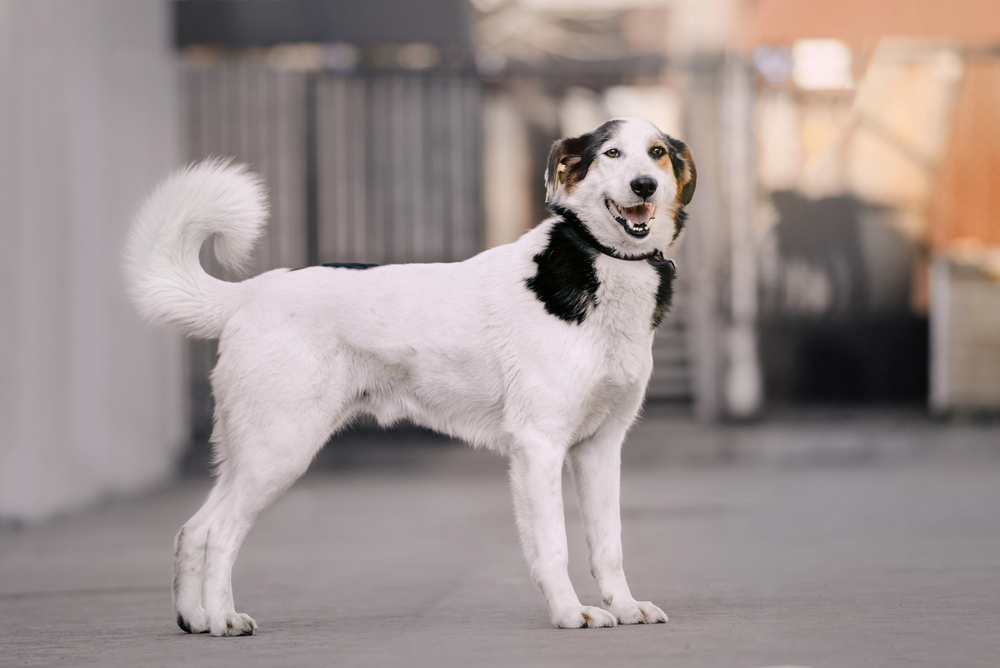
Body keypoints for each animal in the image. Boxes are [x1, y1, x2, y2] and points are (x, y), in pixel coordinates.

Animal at [123, 116, 696, 636]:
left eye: (657, 153)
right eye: (612, 153)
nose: (643, 185)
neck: (601, 262)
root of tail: (247, 295)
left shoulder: (600, 448)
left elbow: (609, 545)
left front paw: (625, 607)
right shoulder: (539, 446)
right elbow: (554, 545)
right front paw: (570, 613)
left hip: (252, 453)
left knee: (193, 530)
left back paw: (195, 618)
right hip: (279, 449)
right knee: (219, 532)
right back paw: (223, 619)